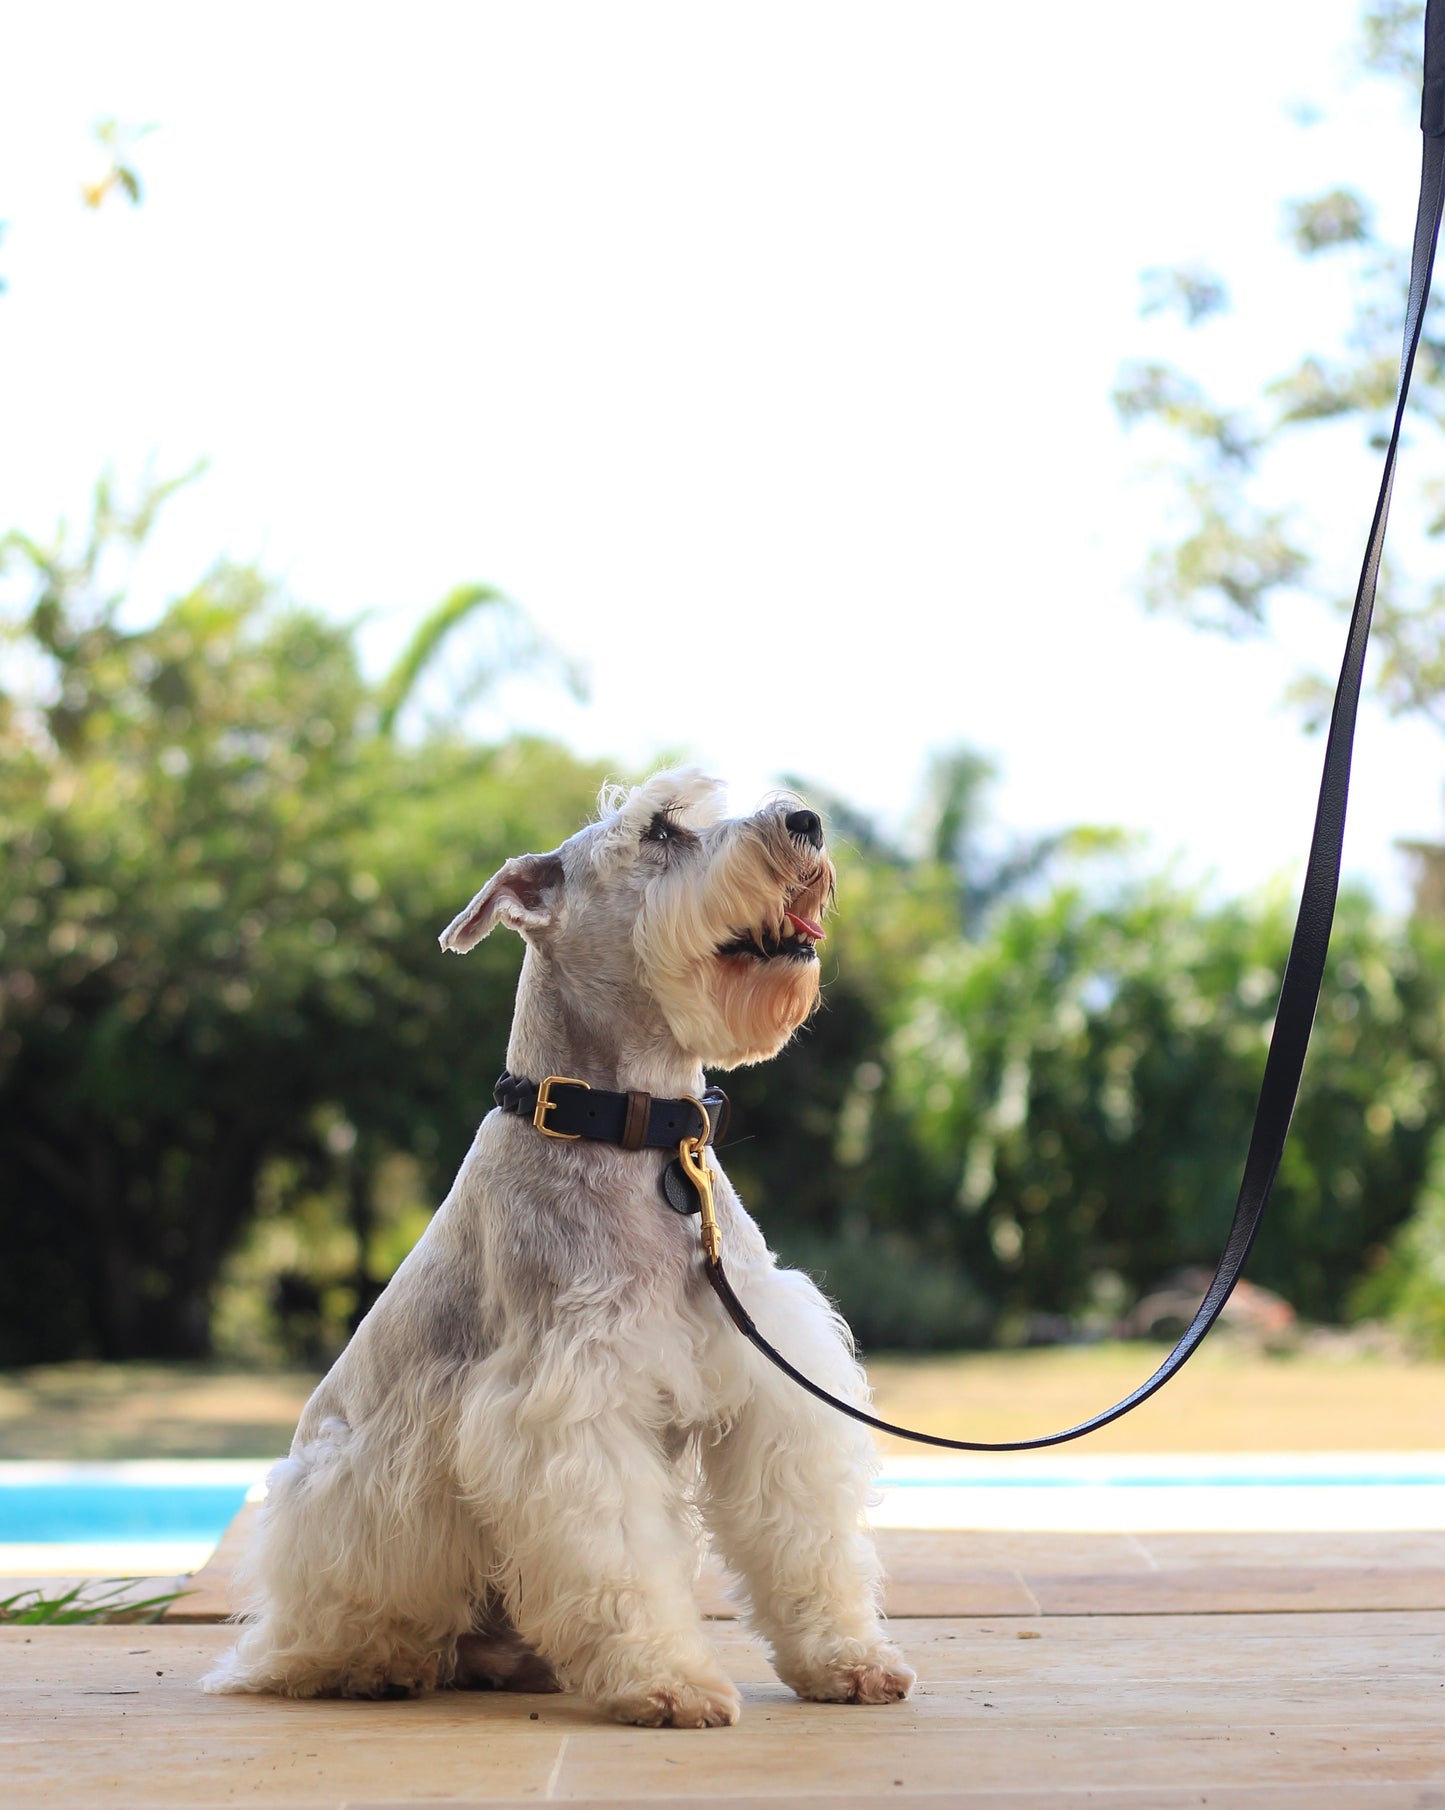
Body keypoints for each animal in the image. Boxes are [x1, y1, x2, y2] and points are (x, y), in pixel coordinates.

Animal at [203, 771, 916, 1730]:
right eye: (659, 829)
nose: (804, 819)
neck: (636, 1131)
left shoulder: (771, 1388)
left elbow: (805, 1538)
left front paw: (845, 1659)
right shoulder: (574, 1402)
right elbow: (618, 1553)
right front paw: (668, 1680)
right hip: (344, 1491)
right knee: (331, 1633)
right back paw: (372, 1662)